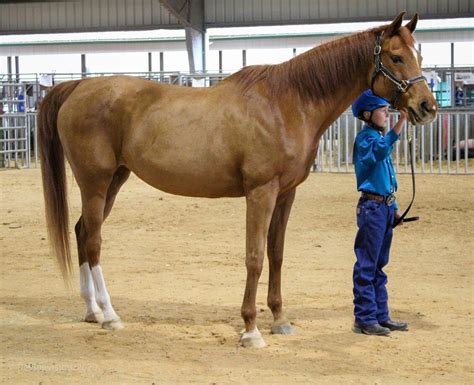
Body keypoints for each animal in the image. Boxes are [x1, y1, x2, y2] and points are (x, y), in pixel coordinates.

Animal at [40, 13, 436, 346]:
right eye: (396, 57)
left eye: (417, 53)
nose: (427, 107)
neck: (286, 103)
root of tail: (77, 88)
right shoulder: (261, 192)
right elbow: (255, 257)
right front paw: (250, 329)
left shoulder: (286, 194)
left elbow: (276, 254)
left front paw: (279, 319)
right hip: (95, 182)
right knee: (93, 241)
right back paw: (109, 315)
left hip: (114, 181)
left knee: (81, 232)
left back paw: (91, 311)